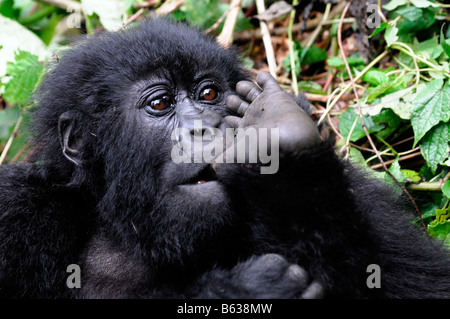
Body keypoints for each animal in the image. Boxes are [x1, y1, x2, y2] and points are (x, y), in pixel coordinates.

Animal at [0, 18, 450, 300]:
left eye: (209, 94)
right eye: (160, 103)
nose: (203, 128)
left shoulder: (364, 199)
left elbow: (429, 286)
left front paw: (280, 149)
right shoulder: (18, 207)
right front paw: (246, 290)